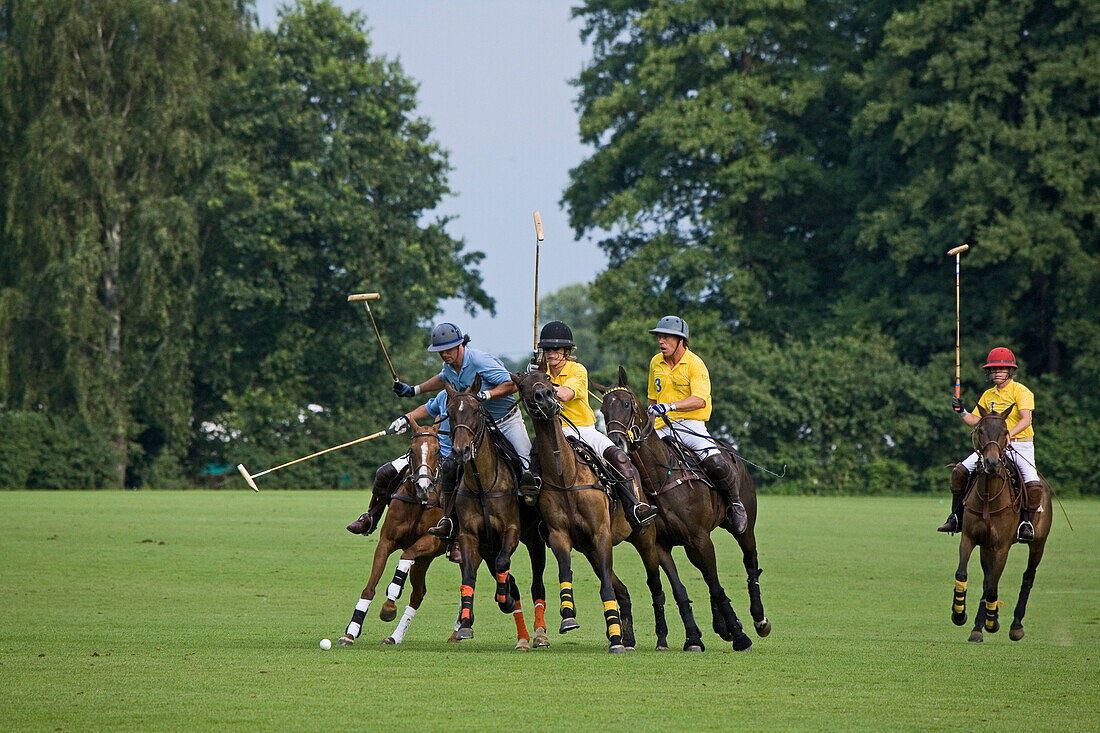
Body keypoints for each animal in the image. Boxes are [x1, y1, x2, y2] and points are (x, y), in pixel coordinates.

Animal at [444, 374, 534, 647]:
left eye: (476, 410)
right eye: (449, 412)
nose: (460, 450)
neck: (482, 484)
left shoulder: (511, 530)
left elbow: (504, 562)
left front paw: (505, 599)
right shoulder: (469, 535)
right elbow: (468, 575)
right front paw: (465, 624)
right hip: (486, 547)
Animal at [508, 372, 668, 651]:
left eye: (548, 381)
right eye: (524, 384)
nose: (546, 398)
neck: (565, 475)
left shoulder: (601, 533)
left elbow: (605, 587)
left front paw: (614, 638)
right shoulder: (560, 535)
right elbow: (565, 571)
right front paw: (569, 617)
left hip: (644, 538)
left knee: (654, 584)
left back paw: (660, 638)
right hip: (590, 550)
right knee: (622, 590)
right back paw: (626, 637)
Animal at [602, 367, 765, 647]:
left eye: (626, 404)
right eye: (603, 409)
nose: (616, 442)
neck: (660, 478)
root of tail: (729, 449)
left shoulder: (698, 537)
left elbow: (715, 585)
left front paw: (739, 636)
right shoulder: (662, 544)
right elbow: (681, 588)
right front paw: (693, 639)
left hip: (742, 527)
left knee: (749, 562)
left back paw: (758, 619)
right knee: (708, 572)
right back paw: (722, 625)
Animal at [950, 405, 1051, 638]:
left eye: (1005, 432)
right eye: (981, 431)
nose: (992, 463)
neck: (988, 496)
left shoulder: (1001, 547)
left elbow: (993, 585)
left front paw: (992, 622)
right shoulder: (970, 538)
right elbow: (963, 573)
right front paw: (960, 614)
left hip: (1038, 543)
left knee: (1028, 576)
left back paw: (1015, 626)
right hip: (986, 547)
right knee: (988, 580)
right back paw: (978, 628)